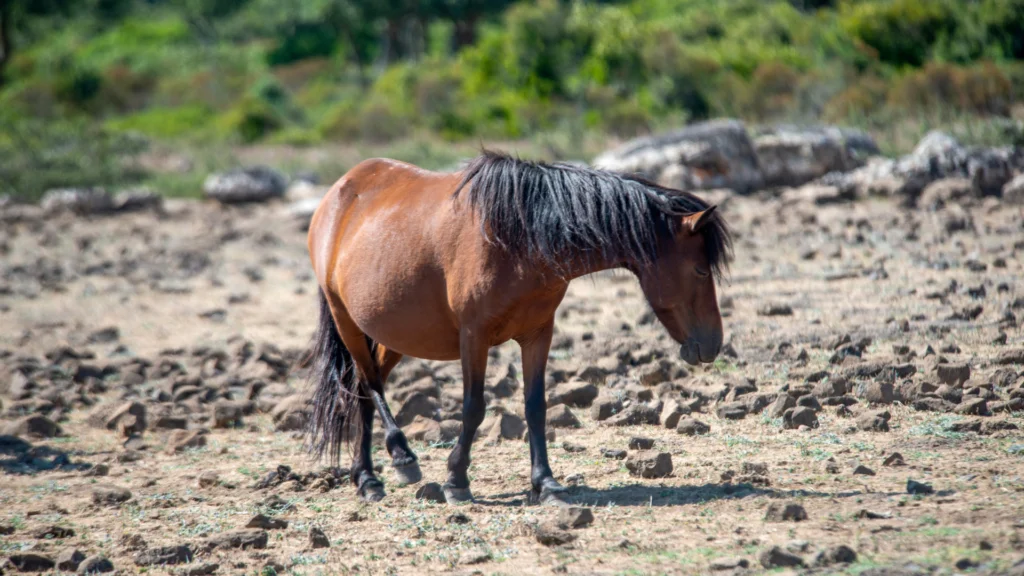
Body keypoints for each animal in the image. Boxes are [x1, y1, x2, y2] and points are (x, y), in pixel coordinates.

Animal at [307, 151, 733, 502]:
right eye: (700, 270)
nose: (713, 345)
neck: (518, 239)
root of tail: (339, 192)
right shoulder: (474, 337)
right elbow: (473, 407)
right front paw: (456, 480)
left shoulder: (538, 334)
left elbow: (536, 406)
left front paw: (545, 482)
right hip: (346, 320)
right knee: (368, 385)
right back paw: (398, 460)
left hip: (393, 334)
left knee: (363, 388)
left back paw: (366, 477)